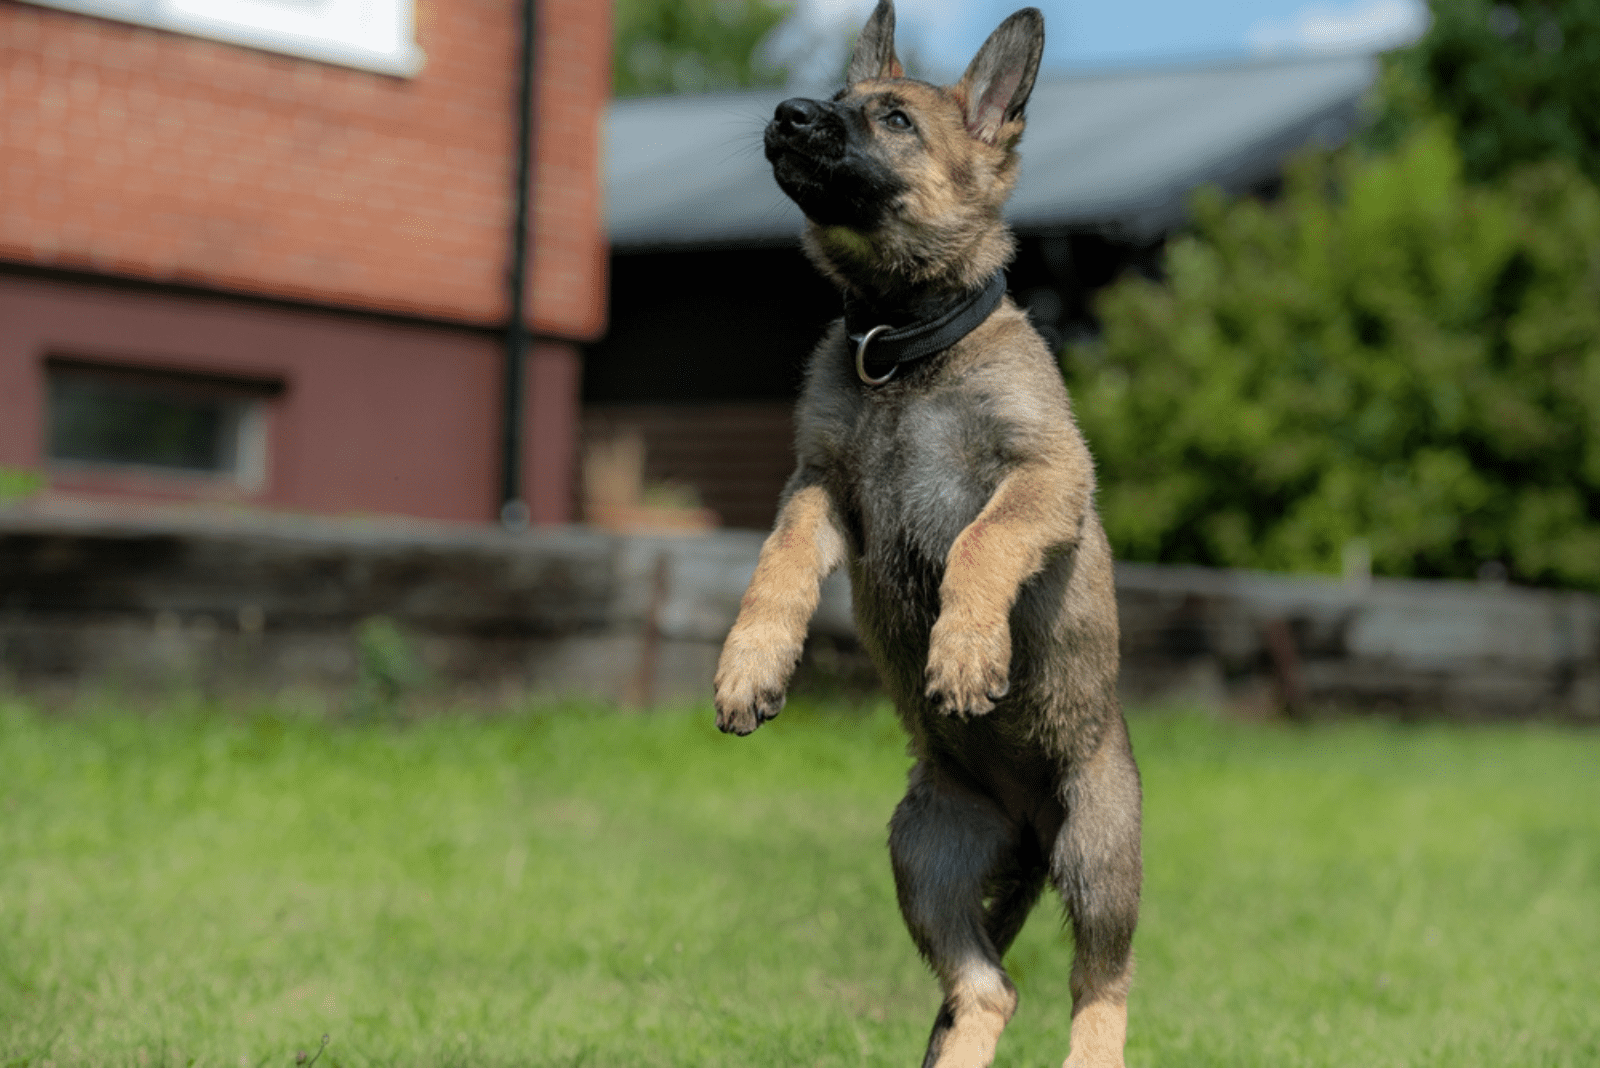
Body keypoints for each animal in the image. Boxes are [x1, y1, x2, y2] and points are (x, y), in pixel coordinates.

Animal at [713, 4, 1139, 1061]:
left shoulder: (1045, 477)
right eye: (839, 97)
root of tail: (1030, 833)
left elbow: (982, 542)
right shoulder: (820, 487)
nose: (788, 114)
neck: (902, 345)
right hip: (927, 850)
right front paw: (751, 665)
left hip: (1099, 846)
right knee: (989, 988)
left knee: (1100, 983)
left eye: (897, 121)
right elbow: (777, 565)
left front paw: (966, 650)